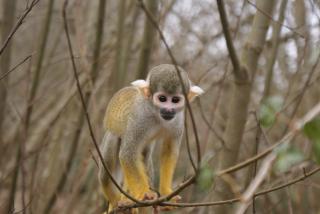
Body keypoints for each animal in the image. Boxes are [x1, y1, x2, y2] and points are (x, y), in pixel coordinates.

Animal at [99, 63, 204, 211]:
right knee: (108, 163)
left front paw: (165, 191)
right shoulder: (140, 118)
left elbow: (169, 152)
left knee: (144, 155)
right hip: (111, 134)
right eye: (162, 99)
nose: (169, 110)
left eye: (175, 100)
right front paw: (144, 193)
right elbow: (128, 154)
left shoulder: (178, 119)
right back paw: (115, 202)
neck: (156, 114)